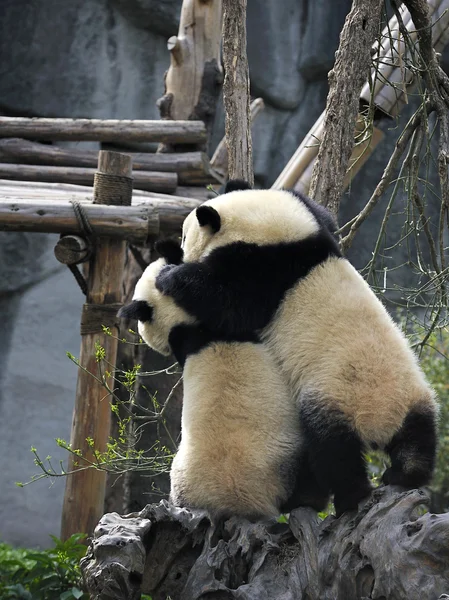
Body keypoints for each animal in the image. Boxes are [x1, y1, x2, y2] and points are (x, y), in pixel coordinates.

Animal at [155, 183, 438, 516]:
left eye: (185, 236)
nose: (182, 251)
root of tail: (381, 421)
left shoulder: (266, 273)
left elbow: (229, 304)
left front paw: (171, 276)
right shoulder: (311, 229)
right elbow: (324, 218)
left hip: (333, 399)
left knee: (333, 453)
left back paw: (350, 498)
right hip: (415, 396)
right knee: (418, 438)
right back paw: (404, 474)